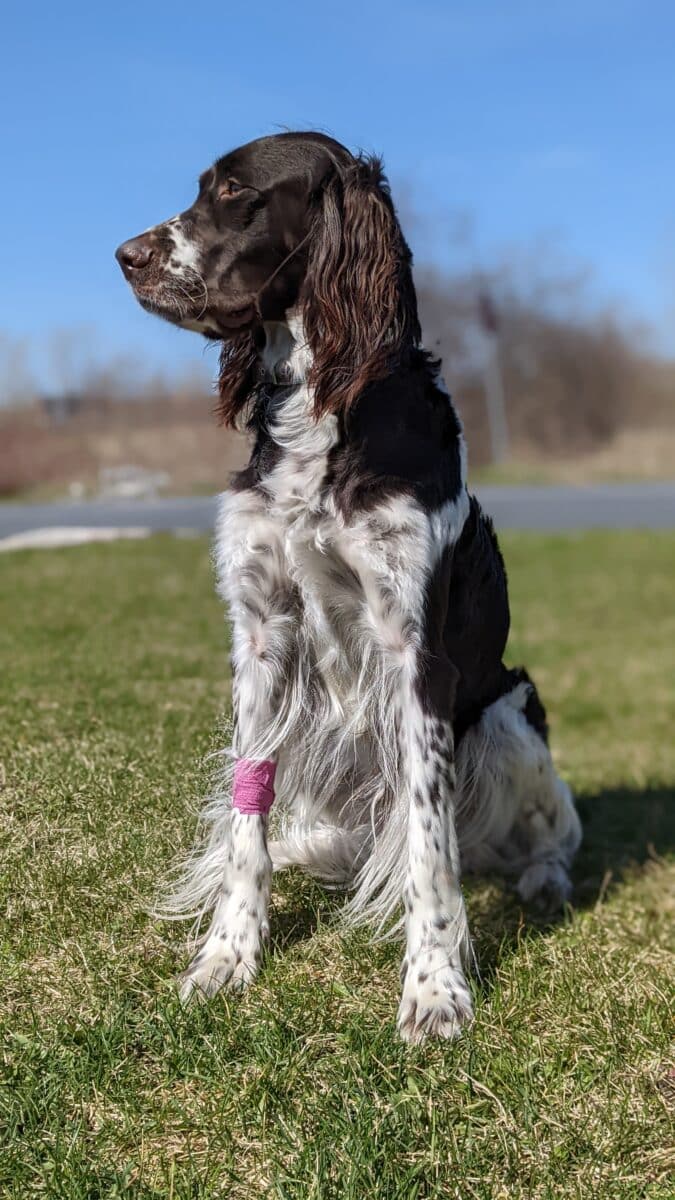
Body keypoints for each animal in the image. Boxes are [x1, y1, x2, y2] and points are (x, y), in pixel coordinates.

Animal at [115, 131, 578, 1041]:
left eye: (234, 190)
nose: (126, 256)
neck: (321, 412)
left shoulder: (416, 656)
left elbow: (430, 847)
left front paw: (434, 990)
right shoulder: (260, 635)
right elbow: (248, 819)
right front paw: (226, 957)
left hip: (510, 717)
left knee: (540, 832)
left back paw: (542, 881)